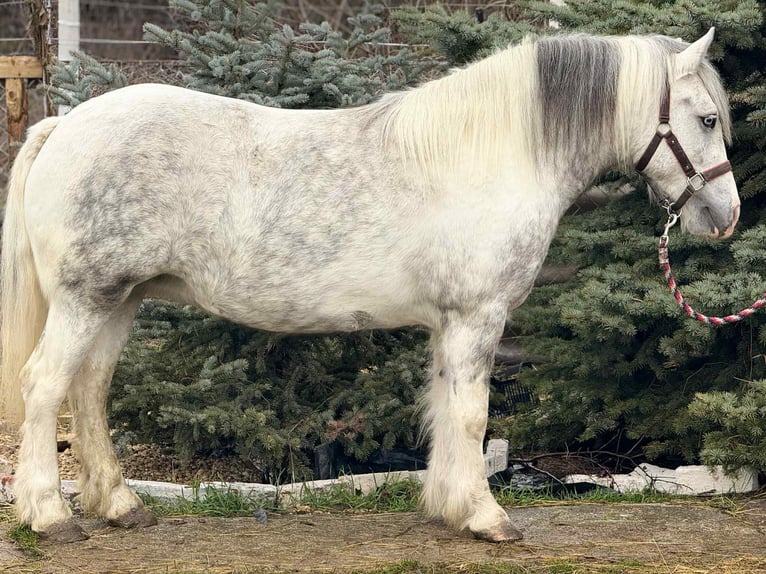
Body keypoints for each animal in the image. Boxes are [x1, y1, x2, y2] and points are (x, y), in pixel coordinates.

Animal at [0, 28, 738, 543]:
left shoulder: (449, 323)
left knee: (89, 391)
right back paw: (50, 516)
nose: (726, 216)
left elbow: (444, 411)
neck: (495, 155)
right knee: (45, 386)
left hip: (120, 299)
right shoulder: (478, 317)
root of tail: (64, 124)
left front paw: (448, 508)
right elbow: (472, 416)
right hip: (86, 298)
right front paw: (488, 517)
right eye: (706, 118)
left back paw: (119, 506)